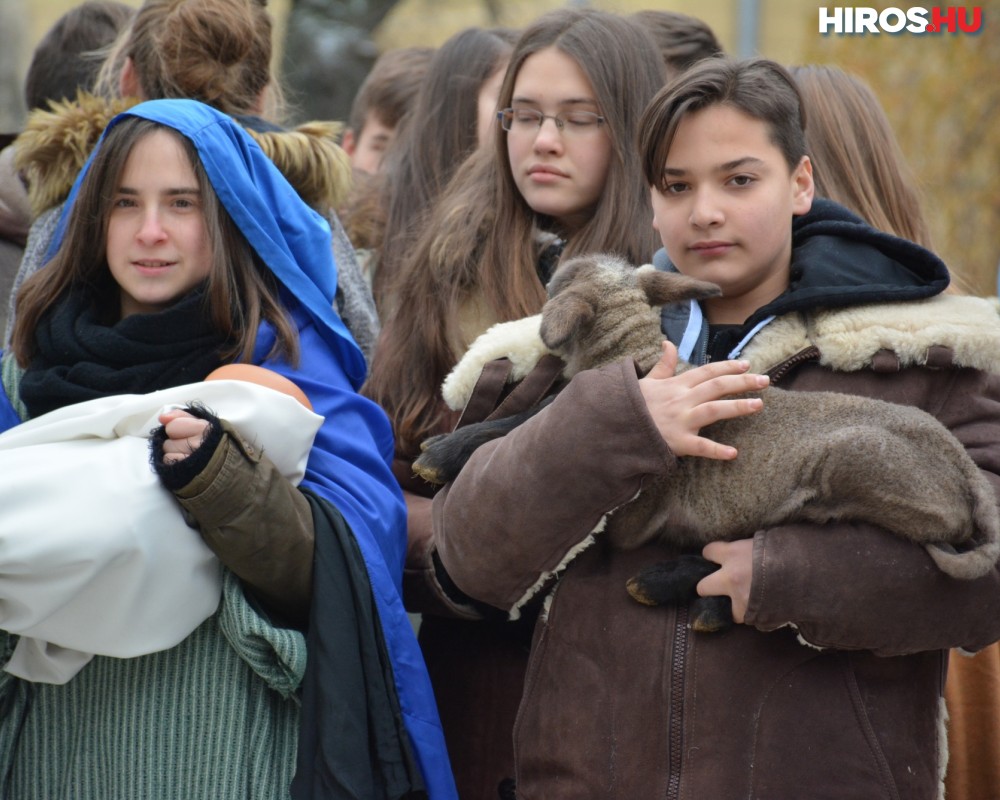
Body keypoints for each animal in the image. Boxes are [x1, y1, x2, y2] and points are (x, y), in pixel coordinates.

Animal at [412, 255, 1000, 632]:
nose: (548, 245)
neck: (635, 355)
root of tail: (969, 475)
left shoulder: (627, 518)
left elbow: (532, 416)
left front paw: (441, 454)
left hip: (848, 468)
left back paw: (668, 584)